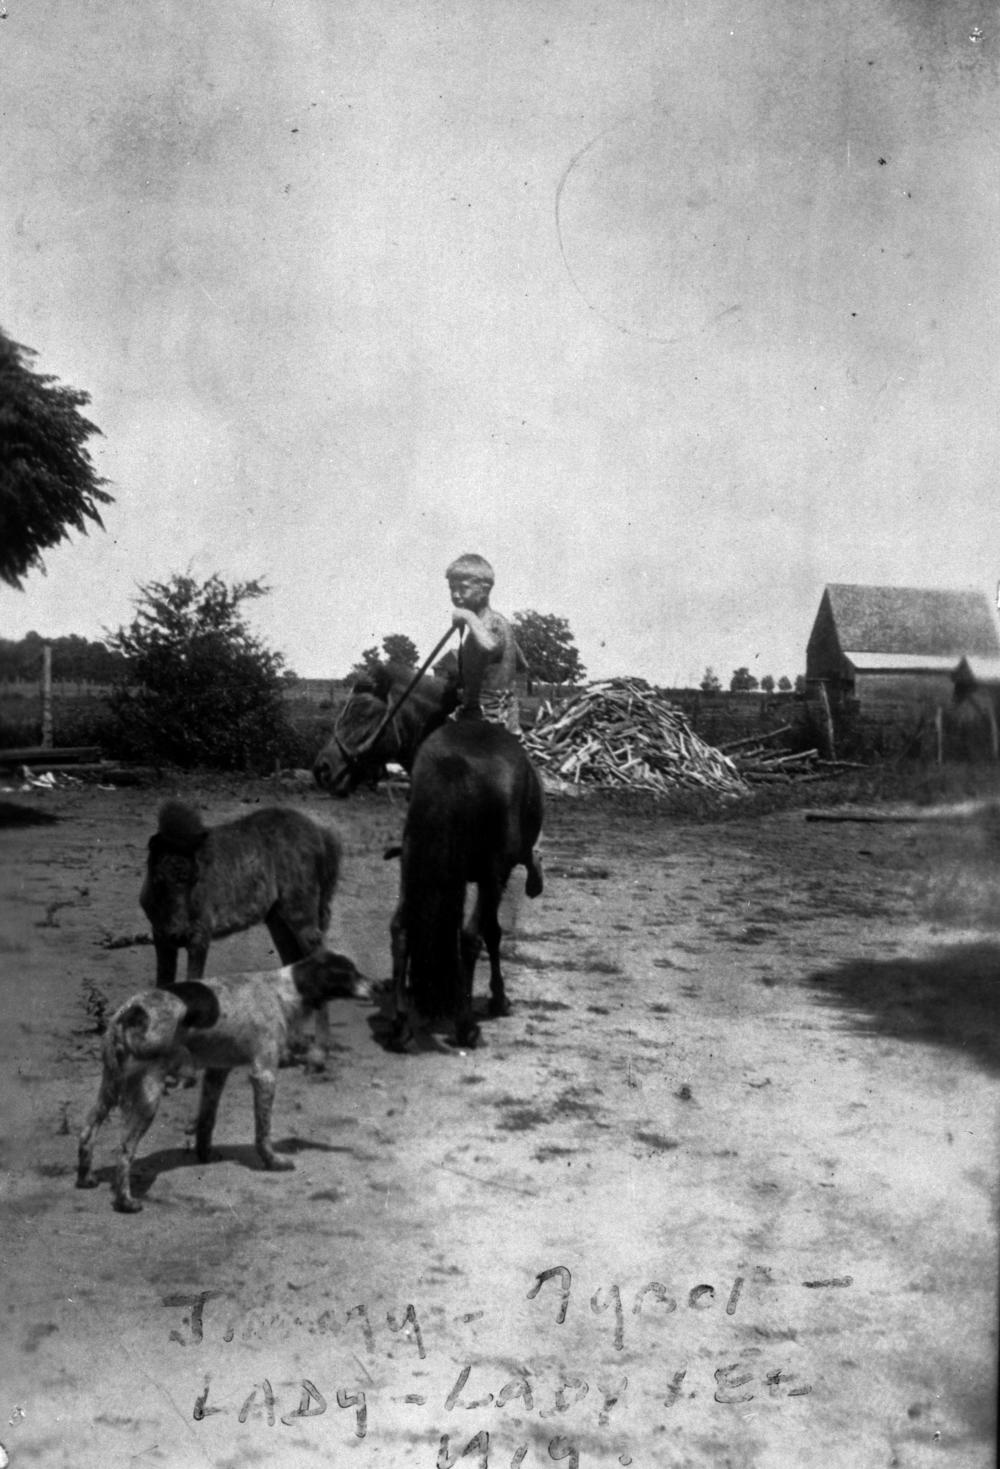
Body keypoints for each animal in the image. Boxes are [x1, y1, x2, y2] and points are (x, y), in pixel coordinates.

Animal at [77, 946, 367, 1210]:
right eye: (348, 973)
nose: (377, 987)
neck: (282, 992)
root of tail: (132, 1011)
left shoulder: (217, 1071)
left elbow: (207, 1121)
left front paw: (204, 1155)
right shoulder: (264, 1073)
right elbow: (263, 1132)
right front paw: (272, 1162)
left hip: (110, 1087)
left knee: (87, 1131)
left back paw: (85, 1179)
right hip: (148, 1095)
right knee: (125, 1150)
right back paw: (126, 1201)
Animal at [390, 716, 546, 1051]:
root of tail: (453, 764)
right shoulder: (498, 875)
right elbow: (492, 932)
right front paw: (499, 999)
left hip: (411, 865)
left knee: (402, 929)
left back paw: (400, 1023)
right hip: (491, 874)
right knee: (470, 936)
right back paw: (466, 1026)